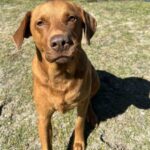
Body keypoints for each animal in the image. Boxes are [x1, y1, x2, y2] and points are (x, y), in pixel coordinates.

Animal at [12, 0, 99, 149]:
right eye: (40, 23)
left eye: (72, 18)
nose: (60, 42)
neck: (61, 76)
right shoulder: (43, 118)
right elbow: (46, 142)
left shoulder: (81, 106)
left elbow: (79, 123)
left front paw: (78, 142)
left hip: (95, 80)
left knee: (90, 100)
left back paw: (92, 115)